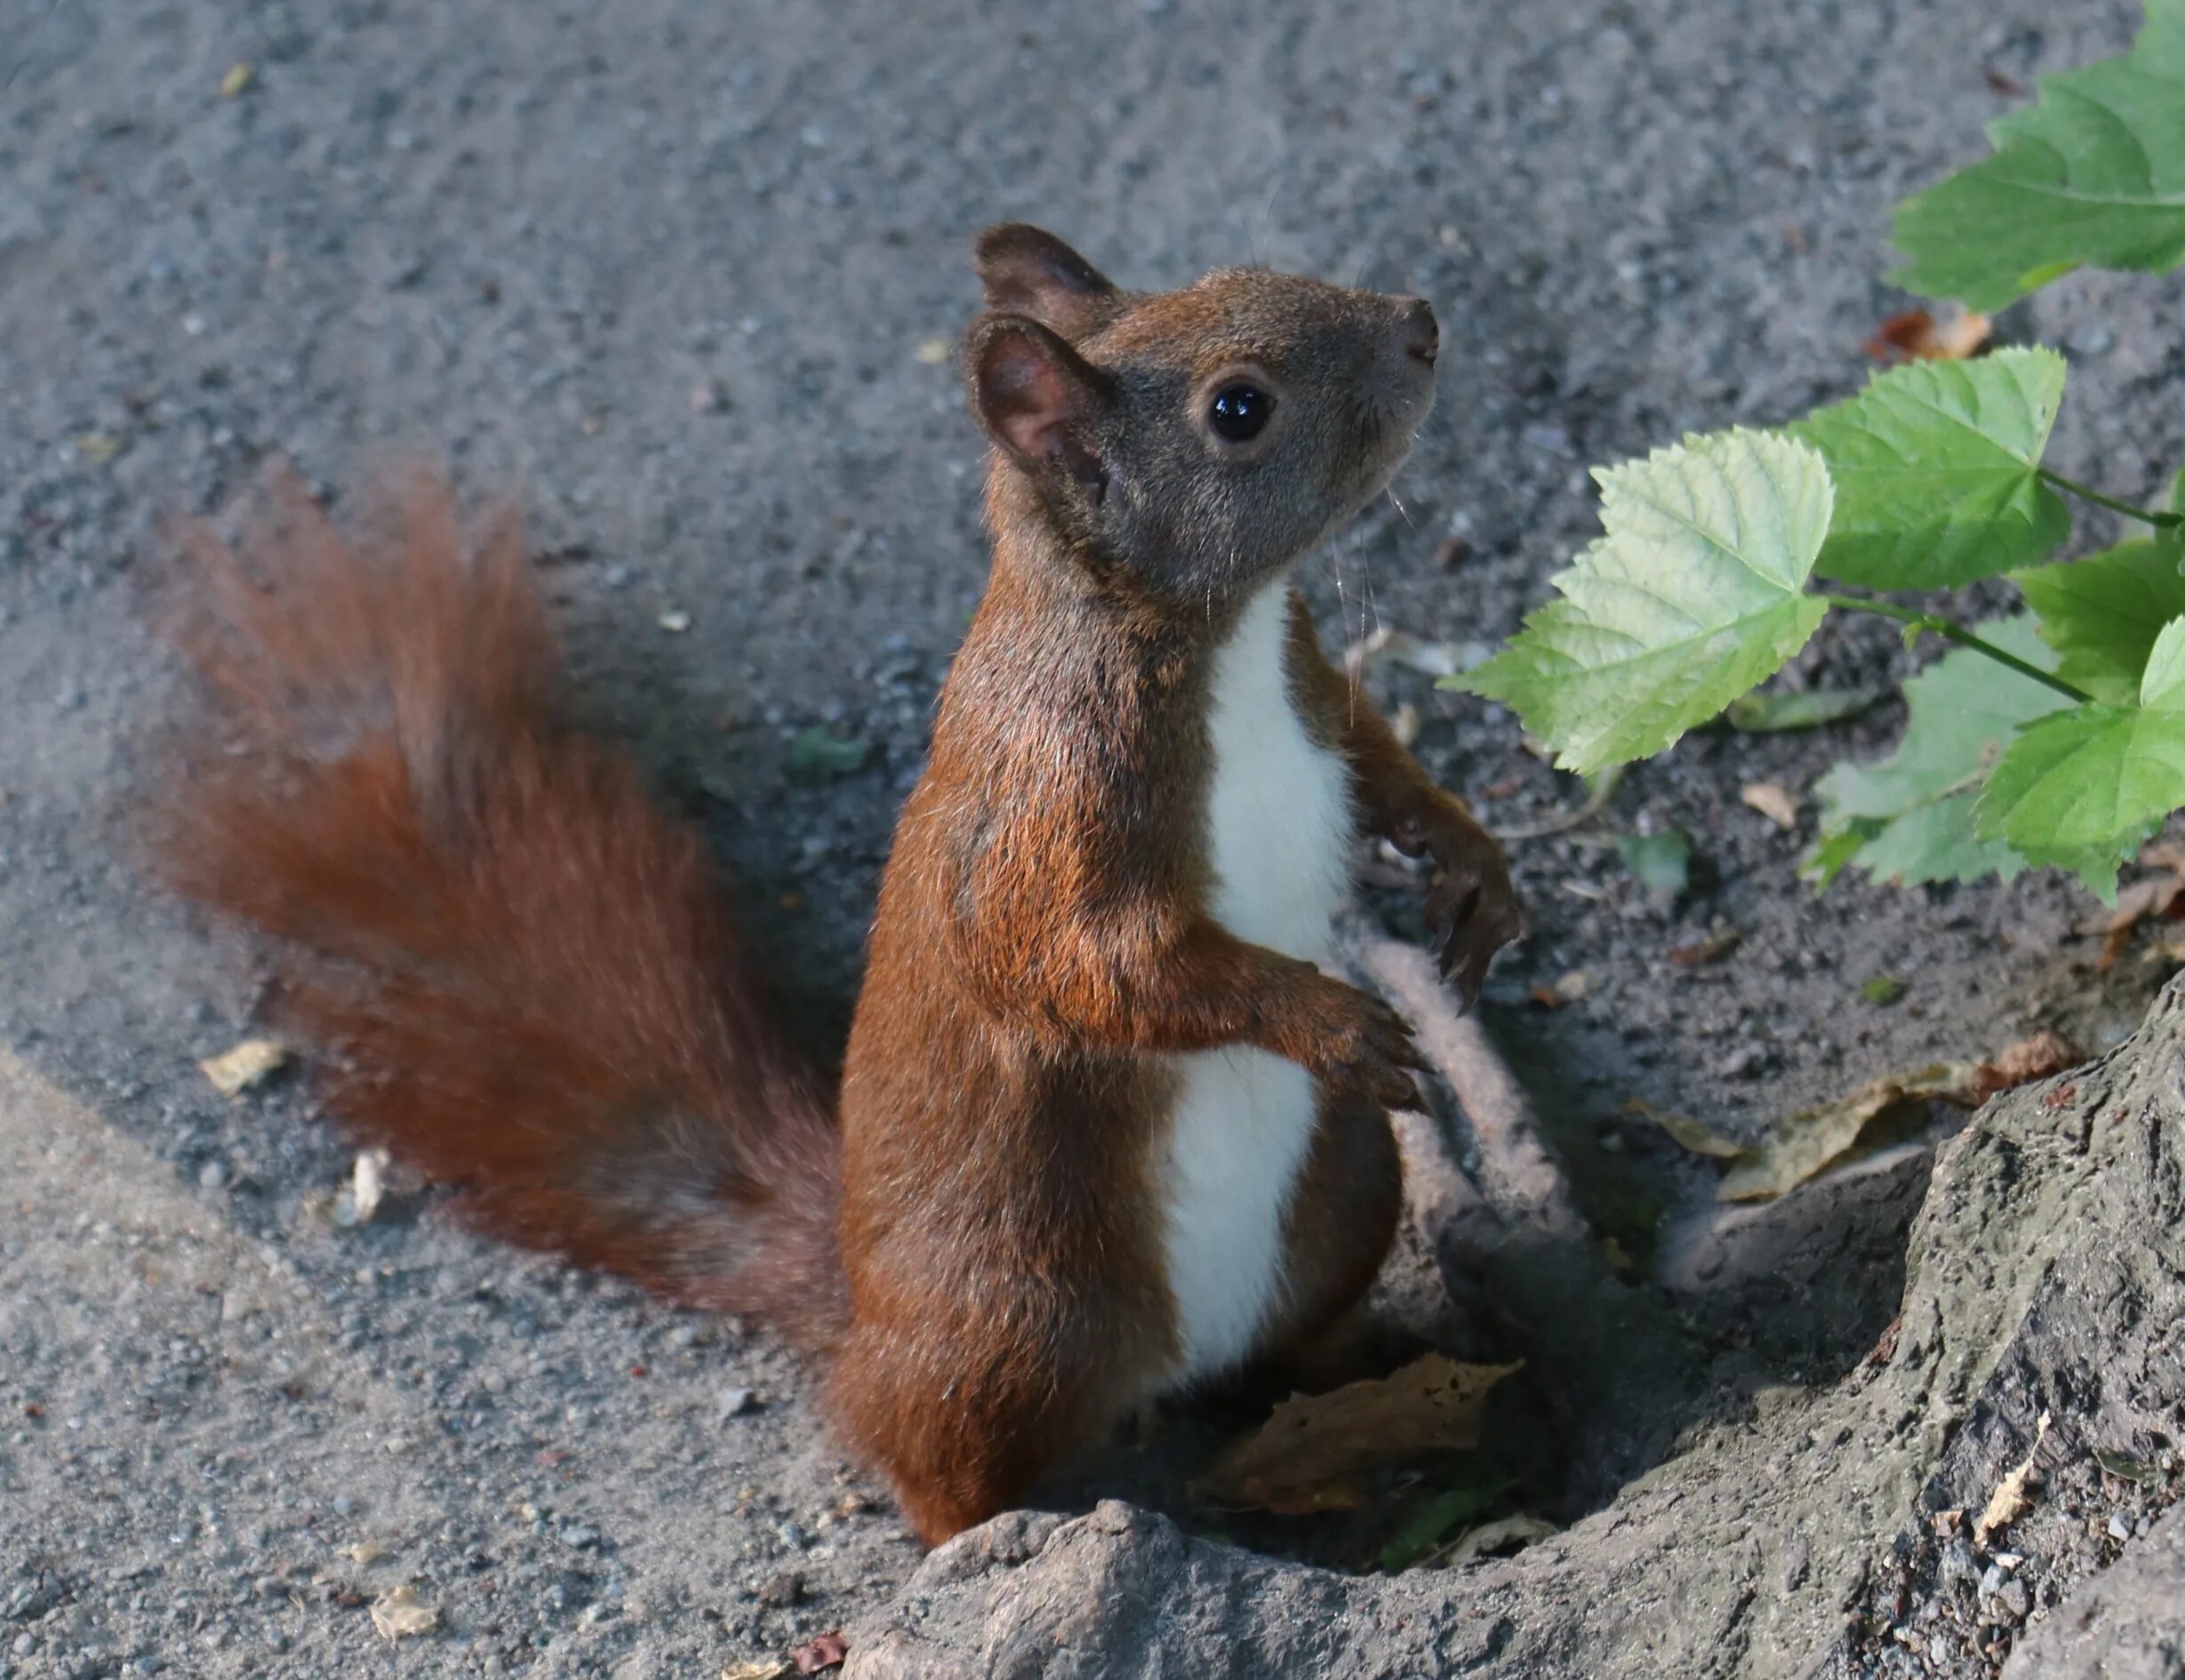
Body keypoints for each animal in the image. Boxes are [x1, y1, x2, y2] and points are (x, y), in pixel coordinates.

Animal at [149, 226, 1520, 1547]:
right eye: (1239, 409)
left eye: (1244, 268)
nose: (1420, 323)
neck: (1218, 634)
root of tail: (861, 1310)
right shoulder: (1047, 801)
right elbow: (1091, 961)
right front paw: (1326, 1017)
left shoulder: (1315, 689)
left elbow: (1385, 768)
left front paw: (1475, 868)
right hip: (1014, 1318)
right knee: (932, 1458)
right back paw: (1009, 1536)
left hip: (1347, 1184)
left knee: (1303, 1333)